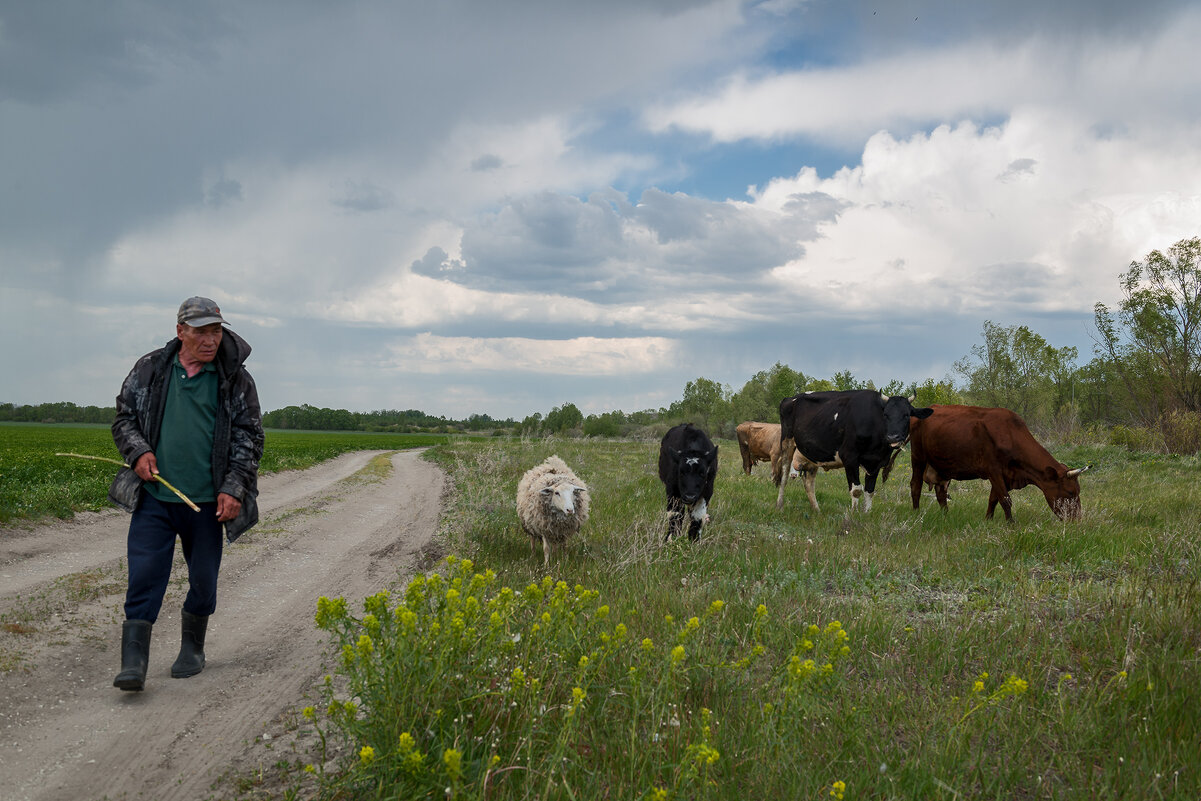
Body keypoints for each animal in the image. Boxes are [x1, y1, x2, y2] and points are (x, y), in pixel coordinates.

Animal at [773, 389, 931, 513]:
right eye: (886, 415)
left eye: (907, 415)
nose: (893, 437)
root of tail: (790, 398)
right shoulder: (849, 457)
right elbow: (856, 490)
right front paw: (854, 515)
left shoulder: (876, 462)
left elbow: (869, 490)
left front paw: (866, 514)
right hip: (787, 442)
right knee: (784, 475)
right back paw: (780, 505)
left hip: (811, 453)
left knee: (809, 482)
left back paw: (816, 510)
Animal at [907, 403, 1090, 523]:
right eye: (1070, 492)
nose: (1077, 520)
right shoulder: (993, 471)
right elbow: (1005, 500)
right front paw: (1011, 524)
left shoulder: (1006, 475)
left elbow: (993, 499)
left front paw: (988, 520)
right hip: (918, 456)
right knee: (916, 485)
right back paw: (916, 514)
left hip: (942, 466)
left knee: (941, 492)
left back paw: (946, 516)